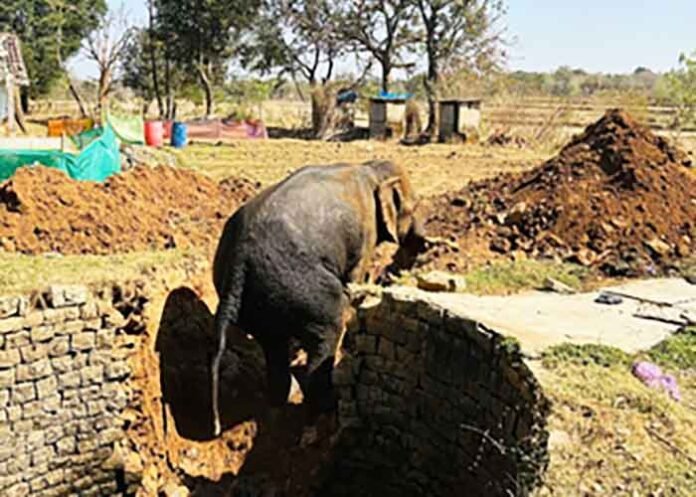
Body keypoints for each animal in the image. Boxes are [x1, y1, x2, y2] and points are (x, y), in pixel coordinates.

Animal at [211, 159, 426, 435]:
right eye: (415, 205)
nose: (423, 245)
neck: (371, 169)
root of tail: (239, 263)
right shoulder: (365, 233)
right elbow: (354, 280)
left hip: (262, 301)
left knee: (273, 344)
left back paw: (284, 401)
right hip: (303, 289)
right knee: (329, 327)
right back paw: (326, 408)